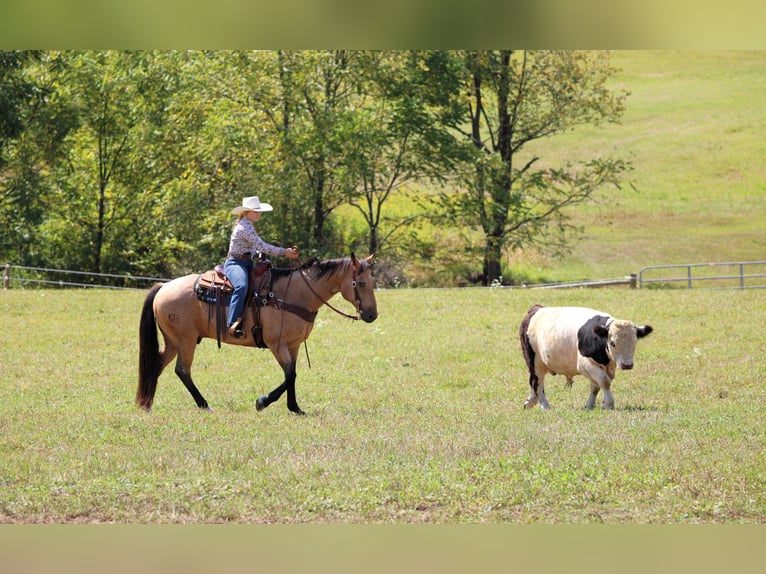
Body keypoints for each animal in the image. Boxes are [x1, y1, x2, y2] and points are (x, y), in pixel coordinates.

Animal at [136, 254, 377, 415]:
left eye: (373, 282)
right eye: (361, 283)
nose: (372, 315)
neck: (292, 295)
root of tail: (163, 287)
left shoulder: (293, 345)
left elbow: (292, 374)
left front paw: (295, 407)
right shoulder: (276, 344)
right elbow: (290, 374)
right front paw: (263, 401)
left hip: (173, 341)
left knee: (157, 364)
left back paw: (147, 403)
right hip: (185, 341)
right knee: (182, 370)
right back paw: (204, 405)